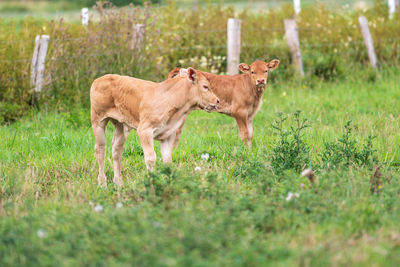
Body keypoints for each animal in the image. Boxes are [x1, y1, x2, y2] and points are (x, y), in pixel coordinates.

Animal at [90, 68, 219, 187]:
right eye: (205, 86)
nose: (217, 101)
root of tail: (100, 79)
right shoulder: (144, 130)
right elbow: (151, 158)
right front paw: (151, 182)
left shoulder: (168, 134)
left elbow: (167, 160)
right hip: (98, 121)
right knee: (100, 150)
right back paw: (102, 183)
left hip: (121, 125)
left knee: (116, 150)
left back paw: (119, 183)